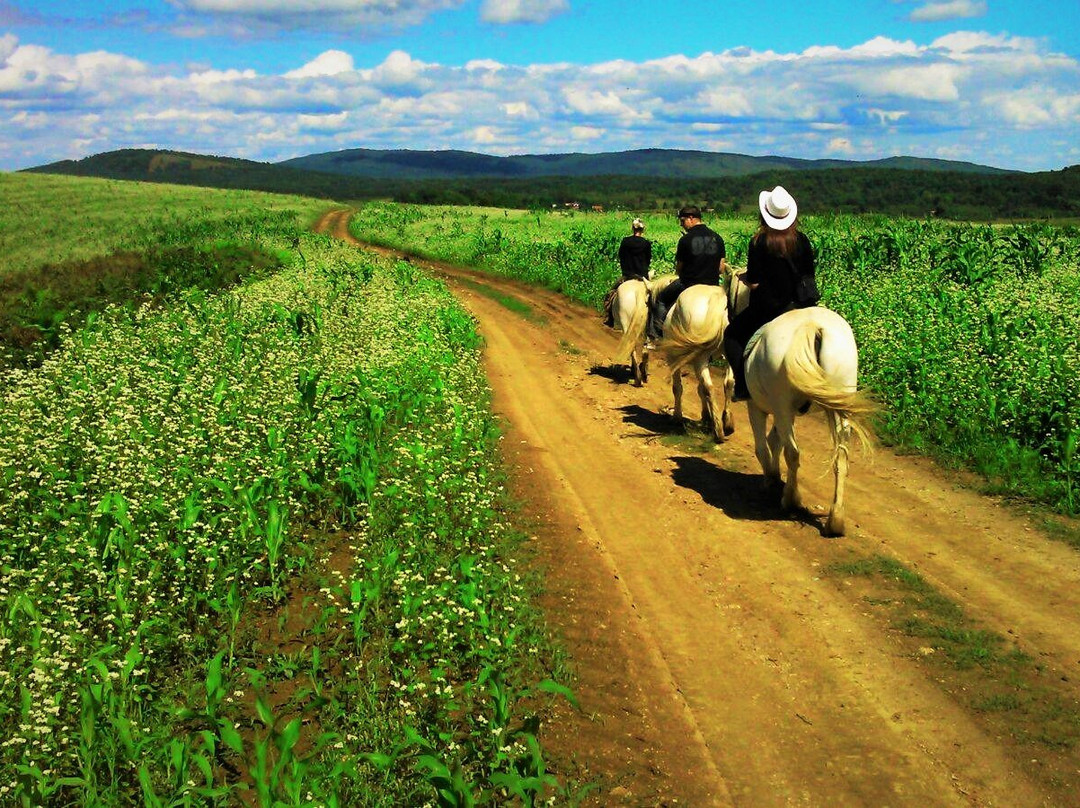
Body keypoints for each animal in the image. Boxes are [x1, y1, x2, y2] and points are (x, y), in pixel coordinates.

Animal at [747, 304, 872, 535]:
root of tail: (813, 326)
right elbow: (774, 440)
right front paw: (775, 477)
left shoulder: (756, 406)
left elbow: (763, 446)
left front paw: (771, 480)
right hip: (839, 396)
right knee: (841, 456)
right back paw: (835, 520)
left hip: (783, 405)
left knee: (792, 452)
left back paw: (790, 500)